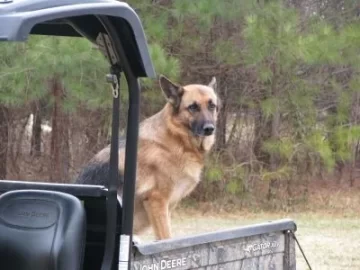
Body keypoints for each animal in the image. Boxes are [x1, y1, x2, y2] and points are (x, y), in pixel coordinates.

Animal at [76, 75, 219, 239]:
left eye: (212, 106)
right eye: (193, 107)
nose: (209, 128)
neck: (176, 138)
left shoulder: (167, 208)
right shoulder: (157, 201)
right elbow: (165, 238)